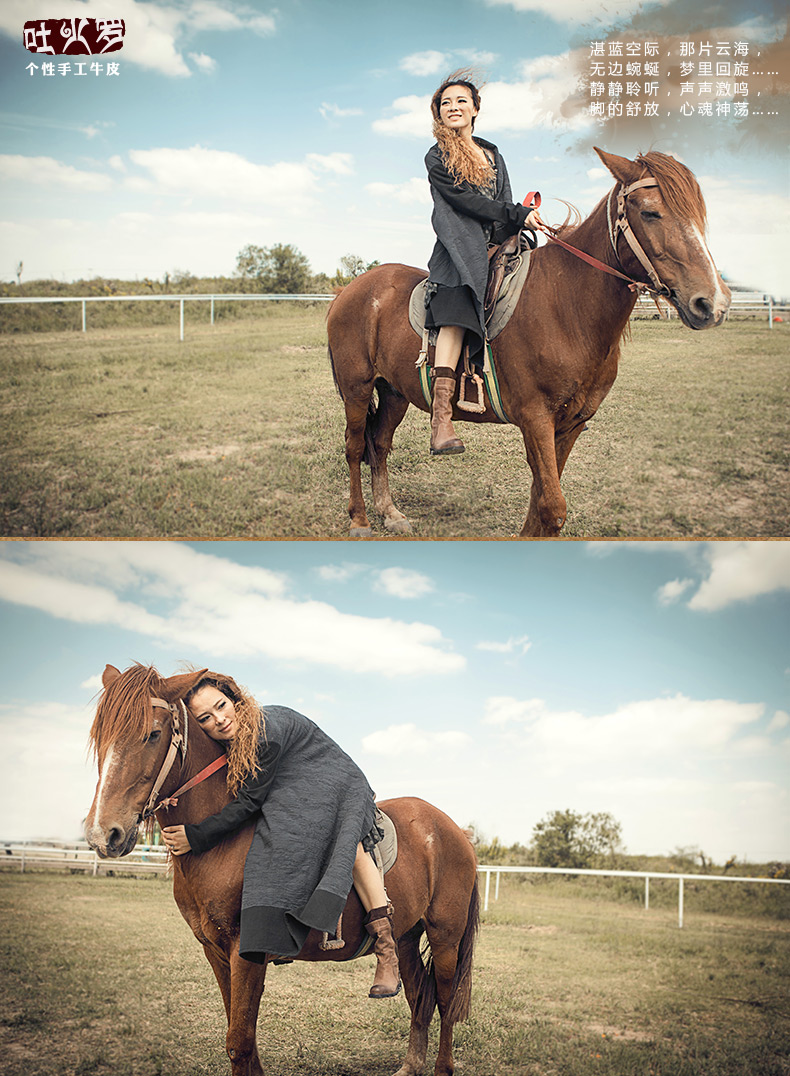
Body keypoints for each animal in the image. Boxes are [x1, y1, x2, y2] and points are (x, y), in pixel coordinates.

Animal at [86, 662, 482, 1076]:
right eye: (100, 737)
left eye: (153, 734)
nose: (103, 834)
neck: (224, 840)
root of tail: (452, 830)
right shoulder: (215, 952)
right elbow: (243, 1037)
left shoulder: (246, 951)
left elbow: (239, 1041)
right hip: (406, 935)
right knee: (421, 995)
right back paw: (410, 1064)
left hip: (445, 937)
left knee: (445, 998)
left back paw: (442, 1066)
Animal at [327, 145, 731, 538]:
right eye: (650, 213)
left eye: (700, 215)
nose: (712, 303)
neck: (567, 305)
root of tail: (349, 290)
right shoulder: (535, 418)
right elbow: (552, 509)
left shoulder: (570, 425)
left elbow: (541, 504)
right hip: (357, 388)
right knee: (354, 446)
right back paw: (359, 520)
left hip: (394, 391)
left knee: (379, 444)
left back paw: (390, 513)